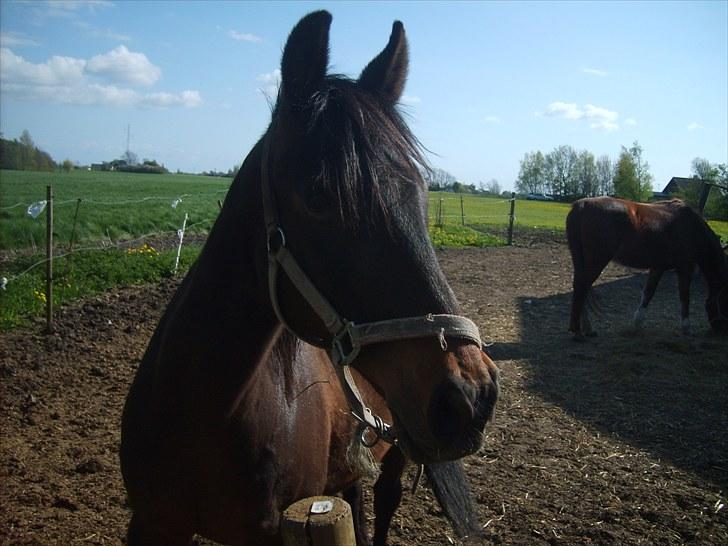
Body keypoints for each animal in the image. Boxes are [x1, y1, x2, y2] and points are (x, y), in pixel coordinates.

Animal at [122, 12, 504, 544]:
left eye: (422, 194)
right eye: (319, 196)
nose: (471, 394)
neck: (203, 408)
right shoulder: (152, 522)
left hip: (400, 444)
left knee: (385, 498)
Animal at [568, 193, 728, 338]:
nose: (721, 330)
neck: (692, 228)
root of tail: (582, 205)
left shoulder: (658, 267)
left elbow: (648, 293)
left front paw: (637, 323)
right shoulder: (685, 267)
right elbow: (684, 295)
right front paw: (686, 328)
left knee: (581, 287)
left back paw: (587, 329)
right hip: (597, 261)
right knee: (582, 287)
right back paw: (578, 331)